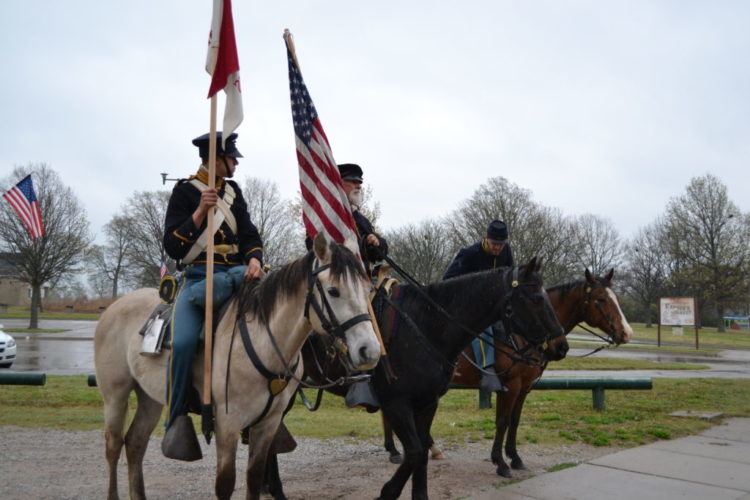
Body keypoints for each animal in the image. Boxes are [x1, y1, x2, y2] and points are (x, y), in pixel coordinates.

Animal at [94, 234, 381, 500]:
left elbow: (254, 477)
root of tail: (114, 307)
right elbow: (225, 483)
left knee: (135, 444)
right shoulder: (228, 423)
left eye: (367, 290)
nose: (370, 350)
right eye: (333, 291)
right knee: (113, 445)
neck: (262, 340)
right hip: (115, 394)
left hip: (149, 397)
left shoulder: (268, 424)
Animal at [265, 258, 565, 500]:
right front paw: (387, 492)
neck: (425, 326)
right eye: (536, 298)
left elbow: (420, 455)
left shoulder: (427, 404)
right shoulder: (397, 404)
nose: (561, 345)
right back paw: (275, 489)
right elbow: (416, 452)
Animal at [396, 268, 632, 478]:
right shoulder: (510, 386)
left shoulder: (525, 387)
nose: (626, 333)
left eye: (615, 298)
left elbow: (515, 420)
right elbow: (502, 421)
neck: (523, 336)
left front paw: (515, 458)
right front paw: (500, 462)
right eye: (600, 299)